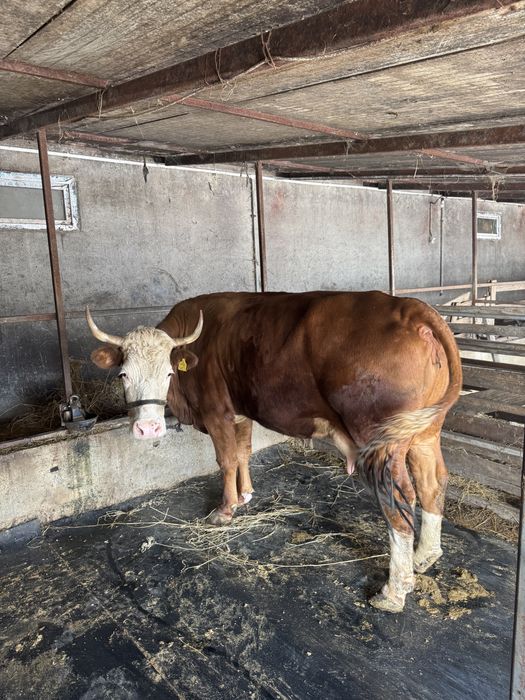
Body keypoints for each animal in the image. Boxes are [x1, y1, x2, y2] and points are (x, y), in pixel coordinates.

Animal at [87, 290, 461, 613]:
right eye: (123, 374)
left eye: (167, 372)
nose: (148, 428)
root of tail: (409, 308)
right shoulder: (240, 413)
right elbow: (243, 453)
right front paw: (246, 495)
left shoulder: (216, 412)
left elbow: (226, 459)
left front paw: (224, 510)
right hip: (425, 434)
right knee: (432, 484)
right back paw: (425, 556)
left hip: (383, 444)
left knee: (399, 502)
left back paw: (394, 591)